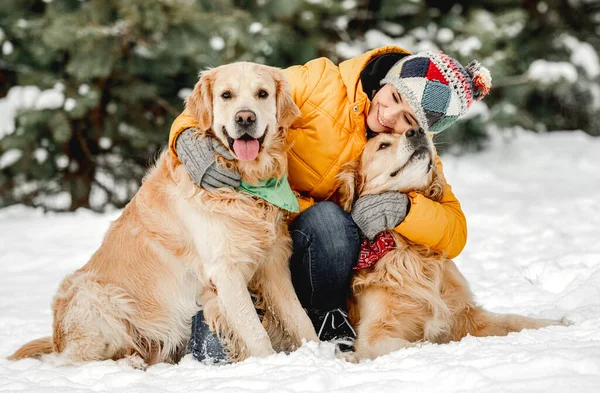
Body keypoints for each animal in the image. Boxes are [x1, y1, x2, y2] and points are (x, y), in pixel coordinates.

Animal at [9, 62, 318, 368]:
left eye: (262, 94)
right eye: (226, 95)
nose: (245, 119)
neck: (245, 183)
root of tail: (57, 338)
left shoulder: (273, 263)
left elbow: (300, 319)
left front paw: (320, 354)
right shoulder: (226, 271)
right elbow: (256, 333)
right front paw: (270, 365)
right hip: (95, 295)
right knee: (72, 361)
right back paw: (127, 364)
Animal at [336, 129, 560, 358]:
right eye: (382, 145)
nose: (417, 131)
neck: (409, 250)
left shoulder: (464, 313)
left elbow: (513, 319)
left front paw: (557, 323)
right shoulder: (374, 334)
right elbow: (412, 345)